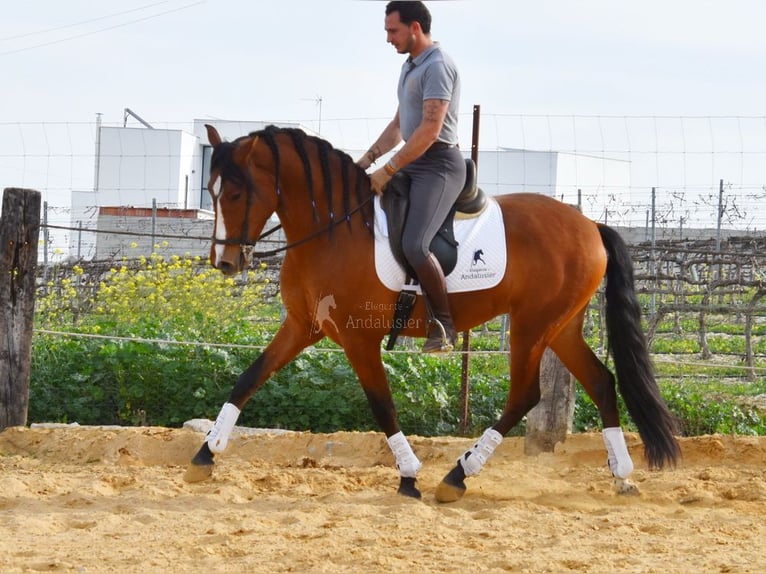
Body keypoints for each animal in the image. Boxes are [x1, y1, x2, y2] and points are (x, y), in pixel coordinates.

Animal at [183, 124, 680, 501]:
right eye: (210, 189)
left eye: (235, 193)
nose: (224, 262)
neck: (333, 230)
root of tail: (590, 225)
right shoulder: (303, 326)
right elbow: (249, 378)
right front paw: (205, 456)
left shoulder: (358, 339)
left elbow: (381, 405)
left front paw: (408, 476)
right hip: (561, 326)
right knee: (601, 381)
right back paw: (622, 475)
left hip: (532, 326)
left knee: (525, 395)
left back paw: (458, 476)